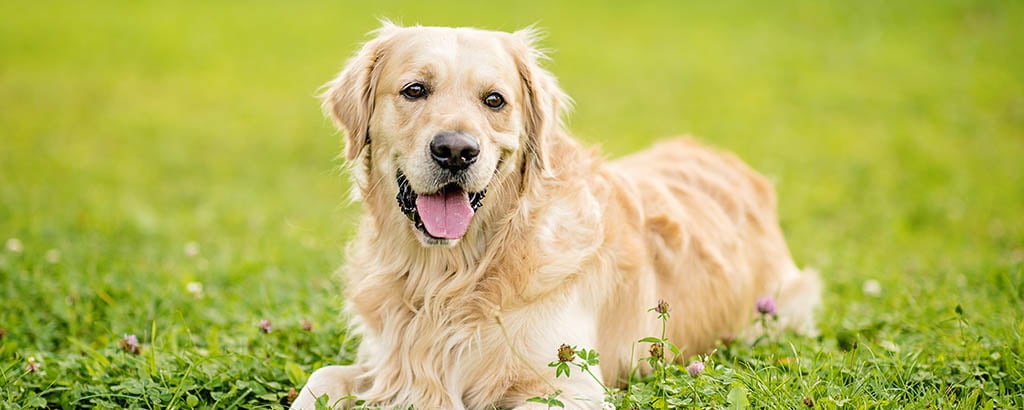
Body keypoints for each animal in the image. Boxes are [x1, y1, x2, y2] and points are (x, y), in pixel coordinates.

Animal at [292, 23, 819, 410]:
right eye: (414, 90)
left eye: (494, 100)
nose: (456, 151)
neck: (451, 276)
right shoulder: (384, 362)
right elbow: (321, 377)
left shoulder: (573, 389)